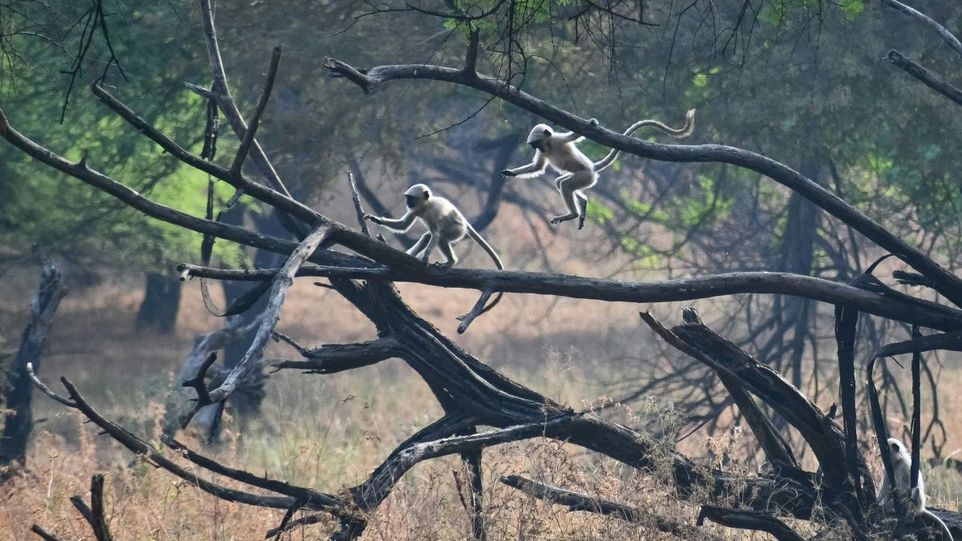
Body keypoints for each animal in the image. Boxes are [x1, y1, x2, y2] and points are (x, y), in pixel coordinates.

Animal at [365, 183, 504, 314]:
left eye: (411, 198)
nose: (407, 202)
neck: (426, 205)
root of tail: (464, 222)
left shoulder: (433, 212)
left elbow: (436, 233)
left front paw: (426, 257)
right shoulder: (415, 210)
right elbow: (403, 226)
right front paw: (376, 219)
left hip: (457, 230)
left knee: (440, 237)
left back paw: (450, 262)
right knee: (427, 236)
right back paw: (409, 257)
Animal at [501, 109, 695, 228]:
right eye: (534, 146)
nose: (538, 149)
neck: (549, 146)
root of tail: (593, 168)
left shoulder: (558, 139)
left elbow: (577, 135)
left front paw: (591, 123)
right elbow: (538, 167)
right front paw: (510, 172)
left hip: (586, 176)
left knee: (565, 185)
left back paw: (572, 214)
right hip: (583, 177)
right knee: (560, 182)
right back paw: (582, 203)